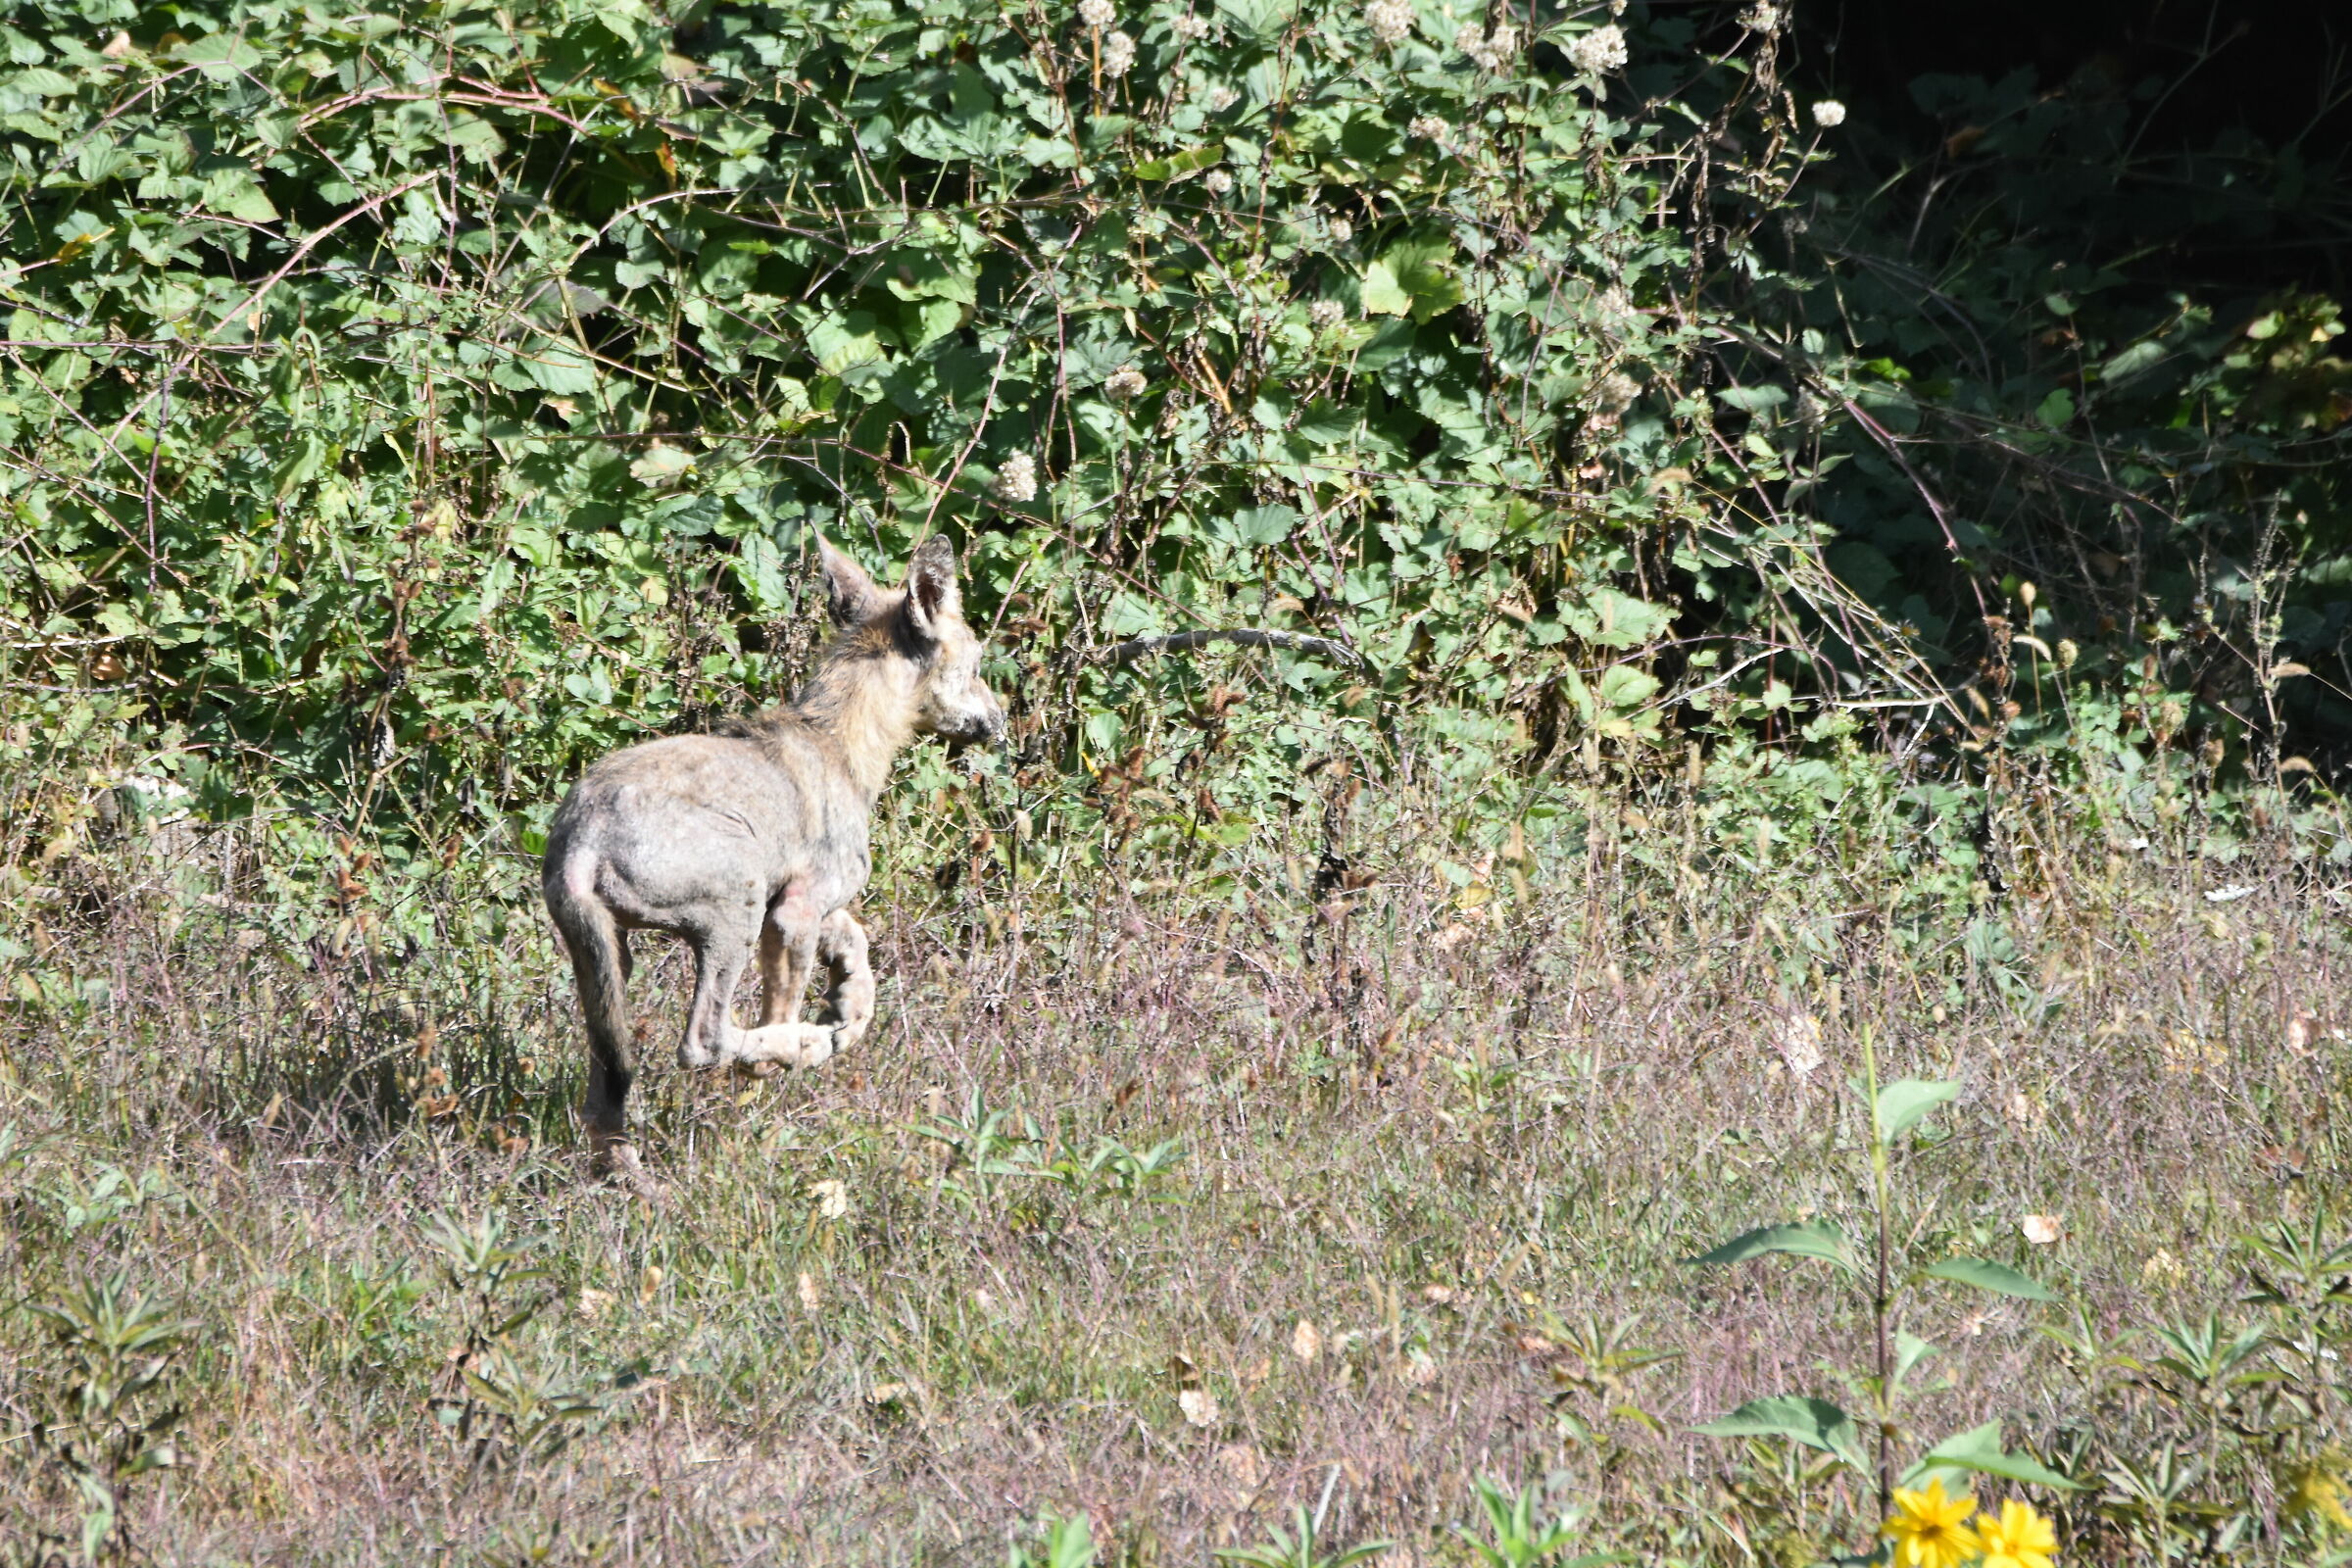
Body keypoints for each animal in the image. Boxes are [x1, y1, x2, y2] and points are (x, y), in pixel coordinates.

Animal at [541, 535, 1005, 1183]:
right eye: (978, 665)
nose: (1001, 722)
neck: (842, 745)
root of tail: (582, 840)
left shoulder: (809, 902)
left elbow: (859, 947)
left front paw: (848, 1007)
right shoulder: (792, 912)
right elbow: (779, 1012)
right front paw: (771, 1093)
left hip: (605, 955)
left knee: (604, 1092)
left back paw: (631, 1177)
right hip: (735, 907)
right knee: (703, 1042)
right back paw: (799, 1047)